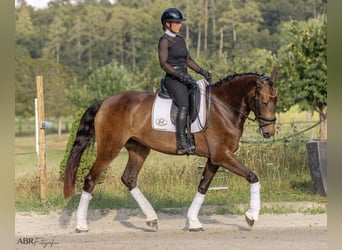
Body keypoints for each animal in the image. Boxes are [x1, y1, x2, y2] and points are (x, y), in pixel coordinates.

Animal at [63, 68, 278, 232]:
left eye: (275, 101)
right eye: (264, 101)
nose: (269, 132)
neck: (223, 107)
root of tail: (104, 102)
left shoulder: (215, 158)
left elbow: (203, 187)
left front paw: (193, 222)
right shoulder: (222, 156)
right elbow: (252, 176)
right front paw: (251, 216)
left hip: (139, 148)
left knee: (129, 178)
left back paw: (151, 218)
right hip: (110, 148)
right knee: (91, 179)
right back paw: (81, 225)